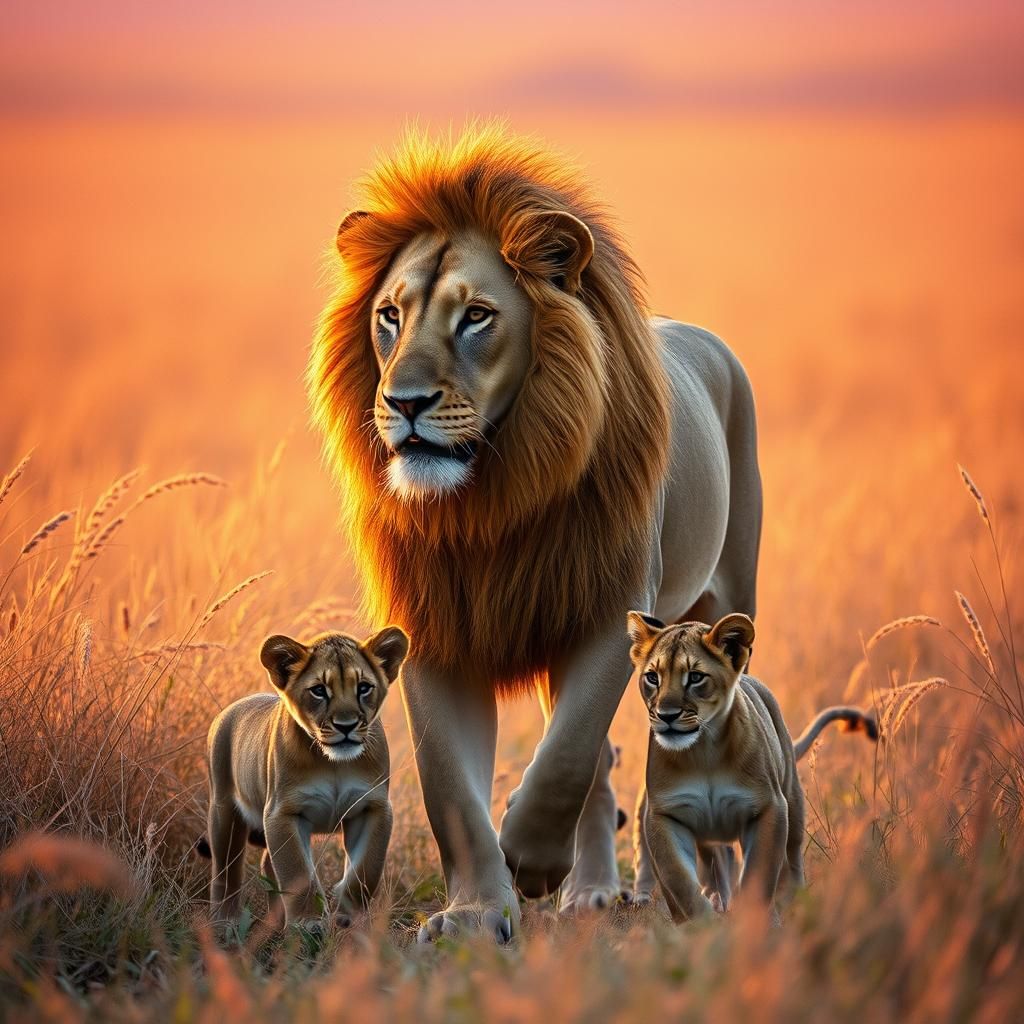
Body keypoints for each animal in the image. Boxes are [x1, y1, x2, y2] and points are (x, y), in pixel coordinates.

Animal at [200, 627, 408, 929]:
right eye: (319, 691)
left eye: (363, 688)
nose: (346, 726)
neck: (333, 763)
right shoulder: (282, 813)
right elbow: (297, 872)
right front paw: (307, 923)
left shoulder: (373, 807)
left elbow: (366, 869)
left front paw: (348, 916)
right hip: (223, 810)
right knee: (225, 868)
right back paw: (224, 921)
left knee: (266, 863)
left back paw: (275, 923)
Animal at [308, 125, 763, 942]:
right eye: (389, 315)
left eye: (476, 316)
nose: (404, 402)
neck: (490, 499)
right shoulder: (434, 629)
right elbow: (451, 786)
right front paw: (475, 912)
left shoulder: (608, 610)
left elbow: (568, 756)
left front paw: (529, 858)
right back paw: (593, 889)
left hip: (725, 595)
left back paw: (657, 887)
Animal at [626, 611, 877, 919]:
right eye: (652, 677)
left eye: (695, 677)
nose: (666, 715)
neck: (703, 752)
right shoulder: (664, 815)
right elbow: (679, 880)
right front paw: (701, 923)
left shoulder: (770, 808)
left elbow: (759, 874)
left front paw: (752, 920)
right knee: (715, 860)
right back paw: (718, 899)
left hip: (792, 801)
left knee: (792, 857)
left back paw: (793, 902)